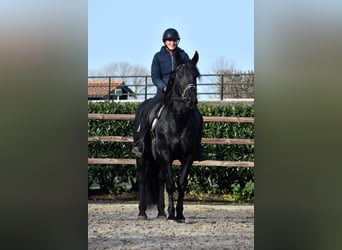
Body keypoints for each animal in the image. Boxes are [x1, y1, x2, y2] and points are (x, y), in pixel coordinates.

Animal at [133, 50, 203, 223]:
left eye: (195, 75)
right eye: (179, 75)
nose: (191, 100)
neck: (179, 119)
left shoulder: (188, 157)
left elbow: (181, 184)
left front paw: (180, 214)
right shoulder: (166, 154)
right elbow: (171, 184)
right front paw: (172, 214)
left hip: (158, 159)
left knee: (159, 179)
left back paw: (160, 213)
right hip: (143, 156)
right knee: (142, 177)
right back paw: (142, 213)